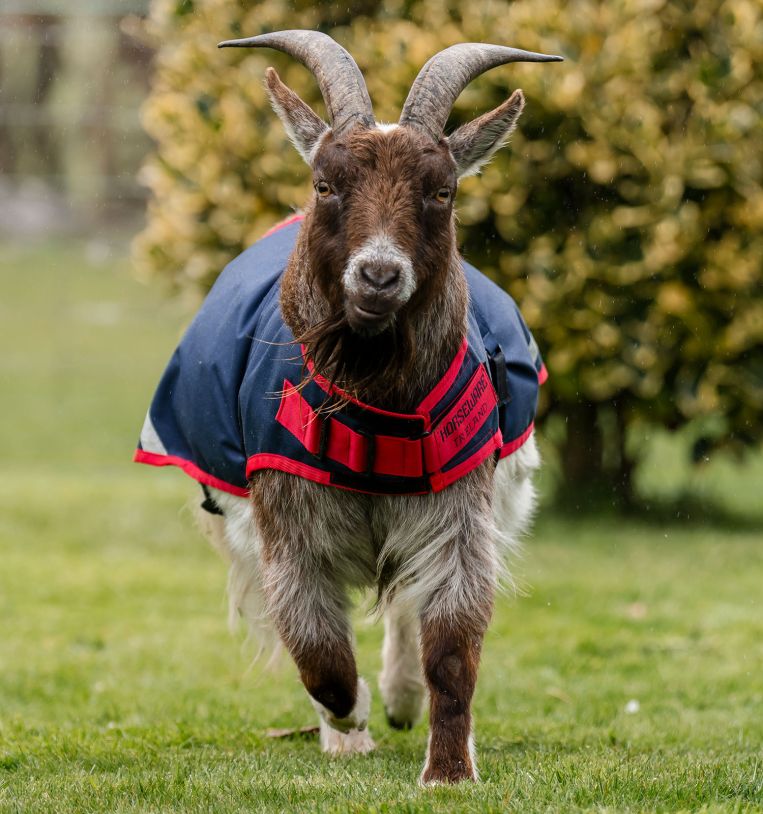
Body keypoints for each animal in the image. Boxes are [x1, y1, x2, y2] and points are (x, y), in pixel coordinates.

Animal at [136, 30, 561, 784]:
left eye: (442, 191)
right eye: (325, 184)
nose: (379, 274)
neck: (371, 406)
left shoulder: (461, 509)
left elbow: (452, 644)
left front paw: (447, 770)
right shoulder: (283, 523)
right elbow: (318, 653)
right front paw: (350, 721)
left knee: (408, 607)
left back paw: (402, 698)